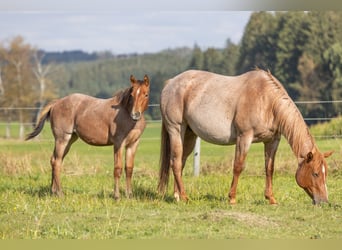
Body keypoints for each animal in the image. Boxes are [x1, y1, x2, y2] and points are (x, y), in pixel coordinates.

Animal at [158, 69, 334, 204]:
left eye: (325, 173)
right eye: (315, 173)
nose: (324, 201)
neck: (267, 101)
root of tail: (171, 83)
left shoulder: (272, 141)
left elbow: (269, 168)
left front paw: (271, 198)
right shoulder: (244, 137)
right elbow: (238, 166)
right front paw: (232, 198)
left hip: (189, 134)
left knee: (180, 162)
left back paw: (177, 196)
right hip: (176, 129)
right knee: (175, 162)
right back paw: (184, 197)